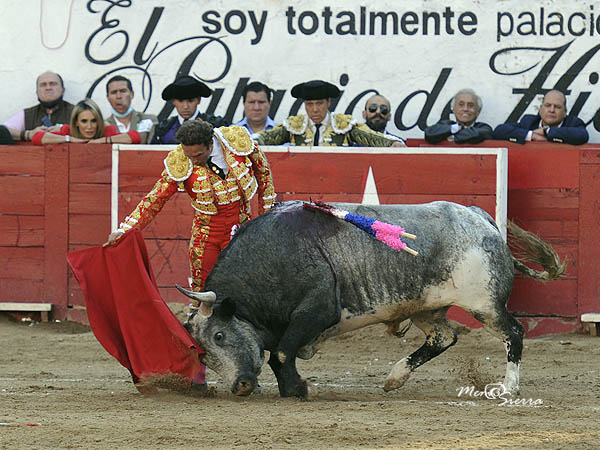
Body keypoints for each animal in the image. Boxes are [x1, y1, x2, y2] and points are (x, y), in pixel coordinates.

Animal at [177, 202, 564, 400]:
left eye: (220, 336)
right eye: (203, 353)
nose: (240, 386)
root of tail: (480, 218)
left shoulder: (316, 311)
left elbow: (283, 353)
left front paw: (297, 388)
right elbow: (277, 355)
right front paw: (293, 388)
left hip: (484, 304)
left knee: (514, 333)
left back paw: (509, 387)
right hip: (425, 307)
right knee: (444, 337)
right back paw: (395, 378)